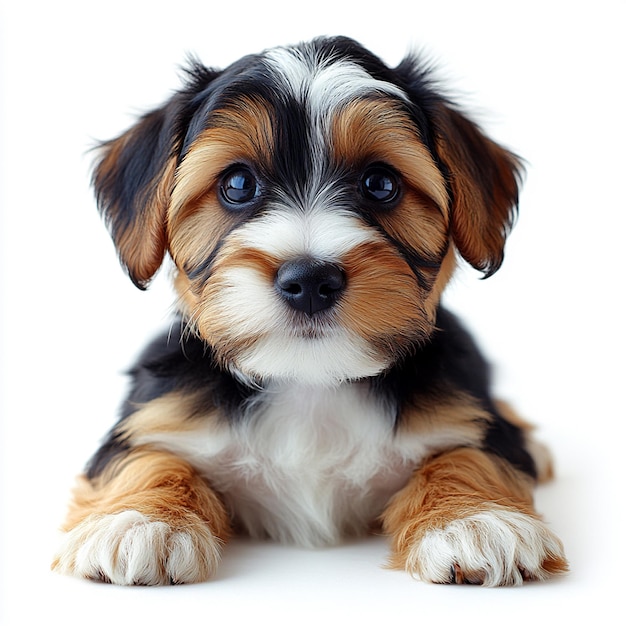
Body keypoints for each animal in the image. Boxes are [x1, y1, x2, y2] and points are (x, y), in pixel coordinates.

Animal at [52, 36, 564, 584]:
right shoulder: (159, 411)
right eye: (237, 184)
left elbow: (470, 454)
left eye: (380, 184)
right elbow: (145, 456)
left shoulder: (464, 410)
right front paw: (136, 520)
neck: (311, 384)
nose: (310, 281)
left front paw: (476, 519)